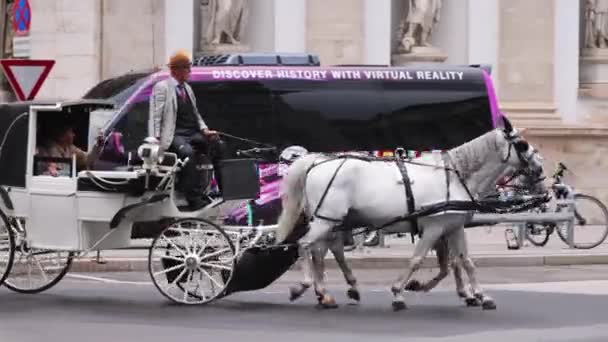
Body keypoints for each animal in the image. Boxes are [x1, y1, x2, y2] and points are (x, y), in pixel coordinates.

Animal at [274, 117, 540, 310]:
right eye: (522, 144)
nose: (540, 169)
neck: (455, 176)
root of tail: (315, 162)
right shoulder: (434, 227)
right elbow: (417, 259)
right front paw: (399, 292)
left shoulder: (453, 226)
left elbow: (465, 261)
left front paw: (481, 296)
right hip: (326, 220)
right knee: (306, 245)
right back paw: (306, 286)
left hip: (333, 220)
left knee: (323, 250)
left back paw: (327, 293)